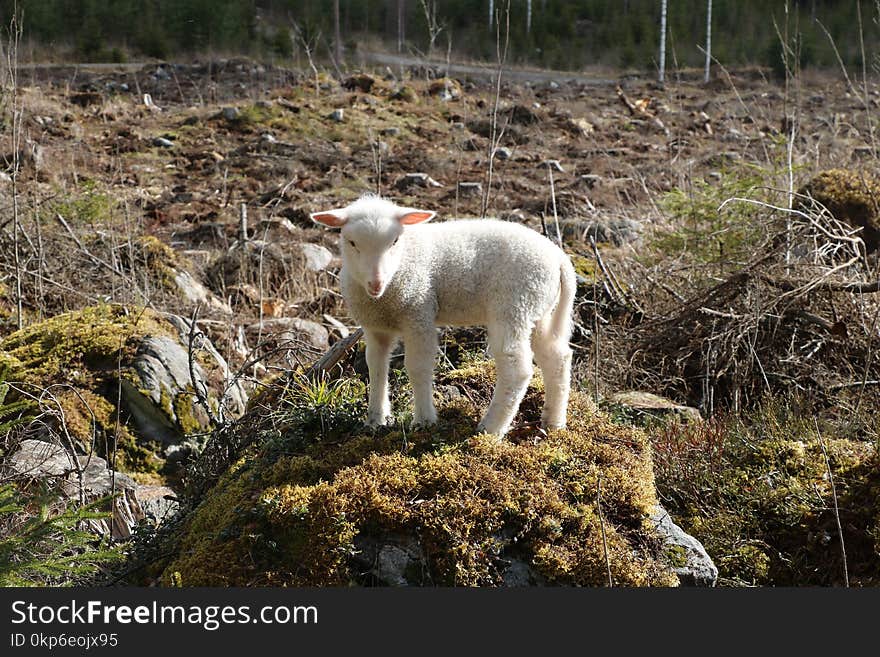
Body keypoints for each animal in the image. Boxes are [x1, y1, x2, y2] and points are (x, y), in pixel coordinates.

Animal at [310, 193, 576, 436]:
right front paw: (376, 420)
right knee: (557, 357)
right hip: (538, 309)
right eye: (352, 243)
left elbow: (418, 367)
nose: (376, 283)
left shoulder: (419, 313)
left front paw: (424, 420)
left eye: (394, 241)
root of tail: (559, 258)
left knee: (516, 369)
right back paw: (554, 422)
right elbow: (375, 368)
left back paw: (491, 428)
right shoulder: (376, 326)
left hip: (513, 306)